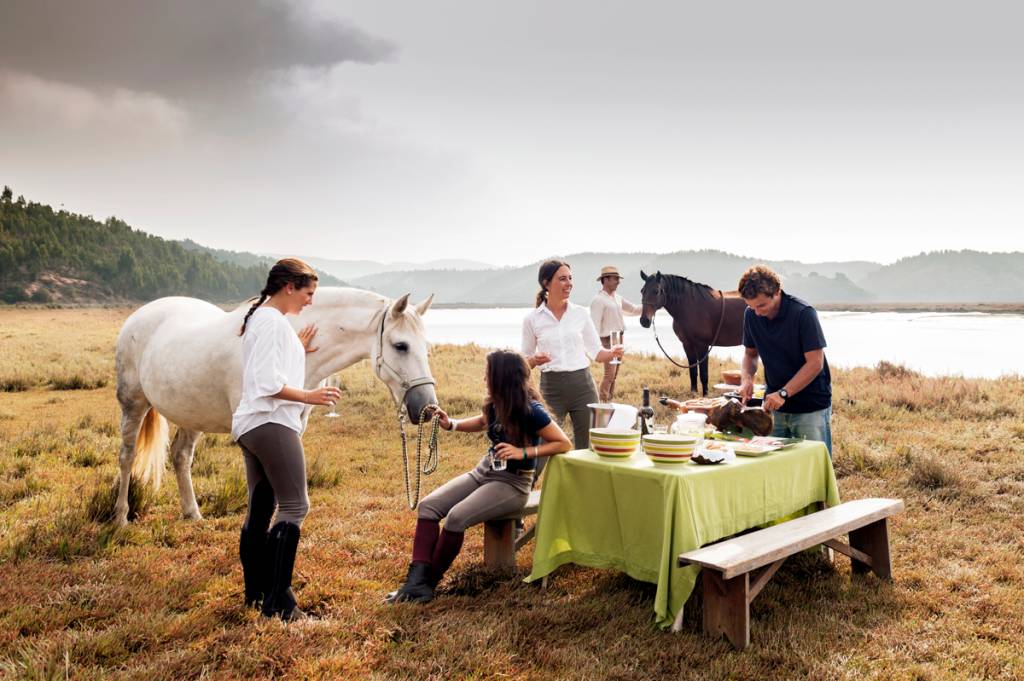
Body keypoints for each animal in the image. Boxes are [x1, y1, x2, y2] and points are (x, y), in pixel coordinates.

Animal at [115, 284, 436, 522]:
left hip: (193, 414)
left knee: (181, 456)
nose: (427, 408)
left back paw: (192, 514)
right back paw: (120, 517)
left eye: (427, 347)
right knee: (127, 456)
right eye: (400, 346)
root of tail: (143, 313)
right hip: (134, 404)